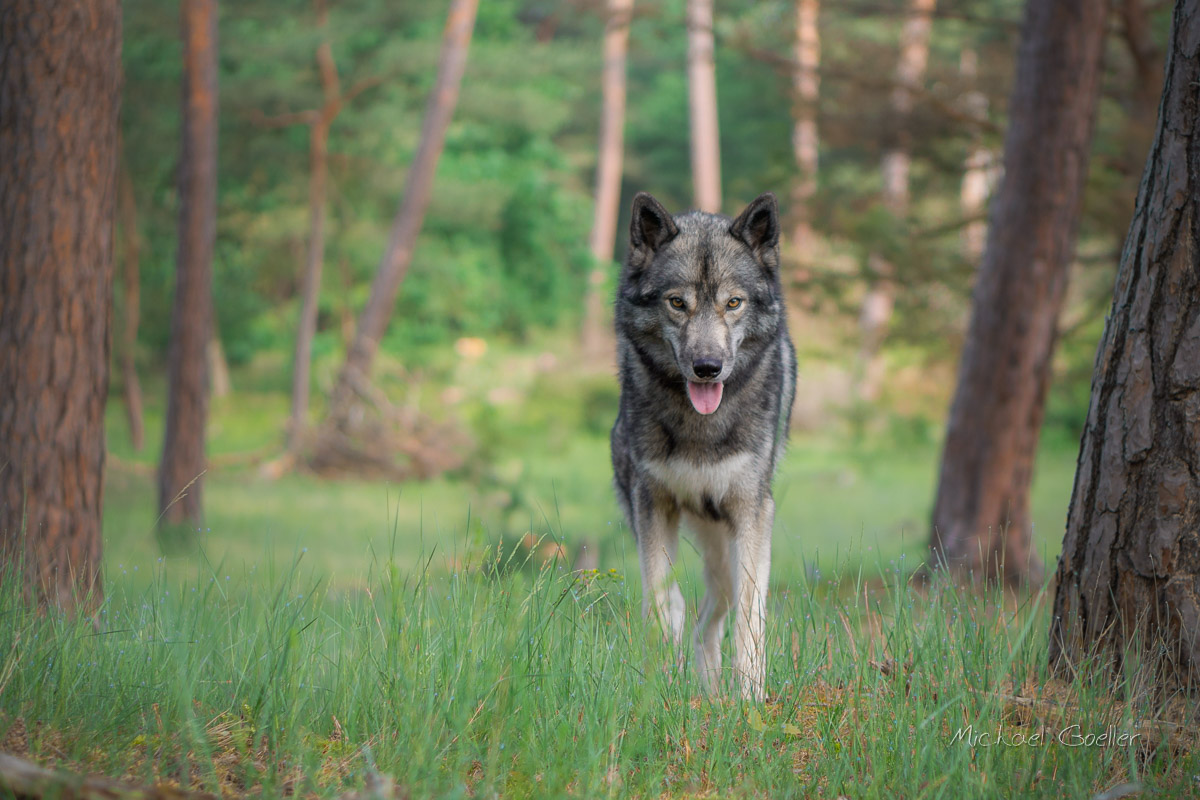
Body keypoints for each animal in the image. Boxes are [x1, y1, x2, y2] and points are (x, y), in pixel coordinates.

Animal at [609, 189, 796, 700]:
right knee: (687, 613)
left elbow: (751, 619)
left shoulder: (753, 512)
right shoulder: (652, 505)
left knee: (714, 614)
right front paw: (660, 690)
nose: (708, 367)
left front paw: (751, 700)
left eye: (733, 302)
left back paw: (713, 694)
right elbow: (661, 601)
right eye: (678, 303)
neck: (700, 428)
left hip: (728, 547)